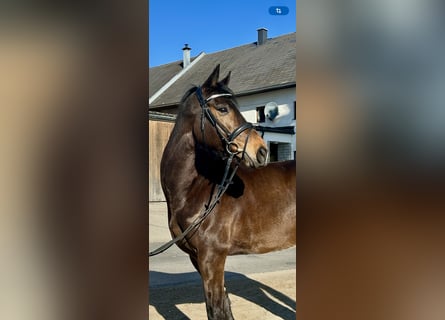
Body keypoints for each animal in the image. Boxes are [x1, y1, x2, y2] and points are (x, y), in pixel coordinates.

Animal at [160, 65, 294, 320]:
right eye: (222, 108)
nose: (261, 151)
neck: (196, 190)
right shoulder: (200, 259)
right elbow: (223, 307)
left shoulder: (212, 258)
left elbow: (216, 309)